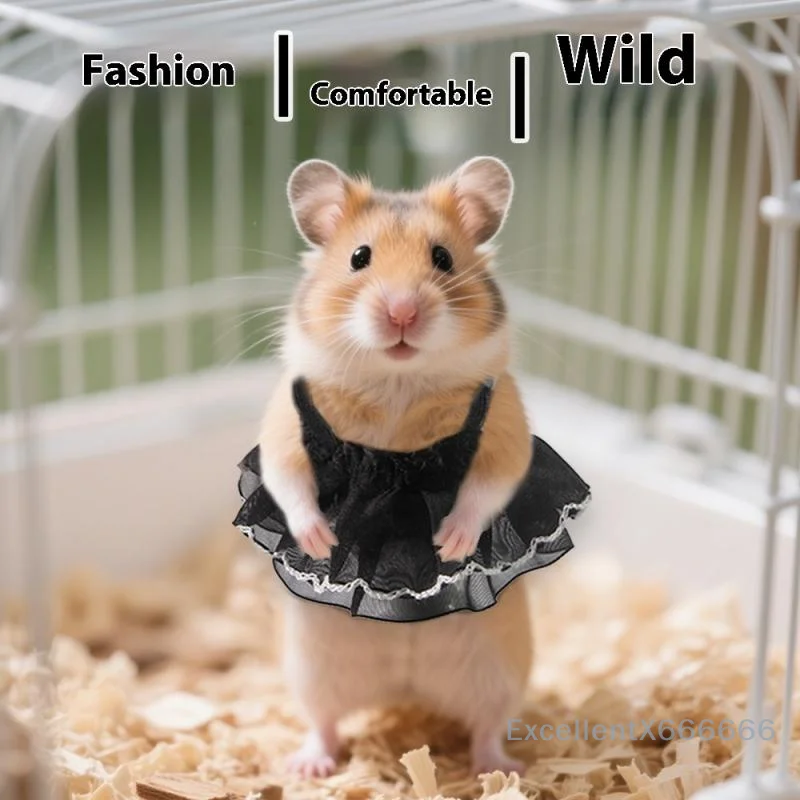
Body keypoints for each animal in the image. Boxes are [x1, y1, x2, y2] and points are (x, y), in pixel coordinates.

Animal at [259, 156, 534, 778]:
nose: (402, 312)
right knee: (323, 722)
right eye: (359, 257)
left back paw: (499, 770)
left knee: (487, 727)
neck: (397, 380)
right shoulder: (284, 425)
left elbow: (487, 487)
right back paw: (308, 767)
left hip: (503, 670)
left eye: (443, 258)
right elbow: (287, 479)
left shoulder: (505, 429)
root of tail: (407, 690)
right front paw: (321, 540)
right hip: (312, 671)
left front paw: (449, 544)